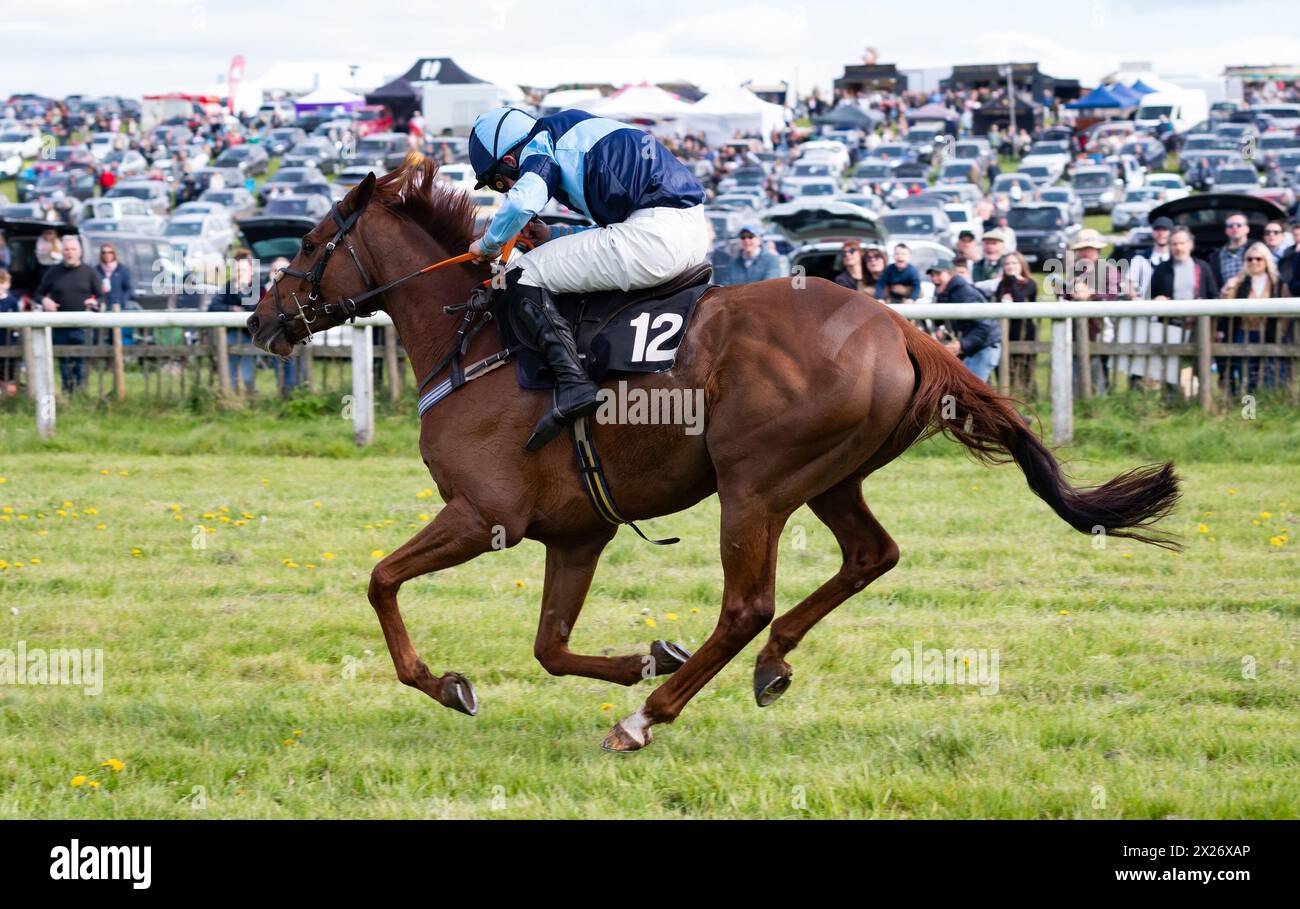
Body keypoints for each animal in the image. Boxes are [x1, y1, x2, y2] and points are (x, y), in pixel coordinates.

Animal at [248, 158, 1185, 754]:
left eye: (309, 245)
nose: (259, 321)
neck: (476, 341)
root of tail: (902, 328)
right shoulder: (575, 533)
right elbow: (550, 645)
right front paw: (642, 653)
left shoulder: (487, 515)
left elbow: (380, 579)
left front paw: (445, 681)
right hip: (829, 477)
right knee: (869, 555)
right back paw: (768, 664)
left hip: (755, 486)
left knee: (747, 603)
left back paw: (645, 719)